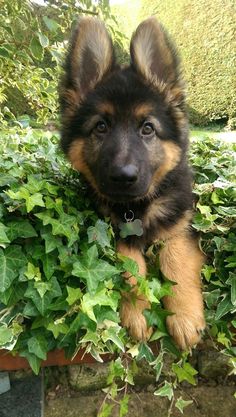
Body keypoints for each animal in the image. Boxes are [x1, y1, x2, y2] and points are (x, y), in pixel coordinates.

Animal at [60, 16, 206, 348]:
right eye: (101, 127)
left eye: (148, 128)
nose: (123, 177)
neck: (135, 208)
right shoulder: (108, 229)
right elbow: (130, 265)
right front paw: (139, 311)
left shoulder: (181, 223)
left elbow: (175, 258)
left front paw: (184, 316)